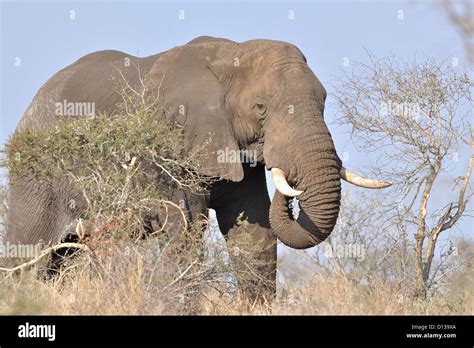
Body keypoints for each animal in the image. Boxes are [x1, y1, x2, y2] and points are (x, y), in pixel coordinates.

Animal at [3, 36, 388, 298]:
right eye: (260, 107)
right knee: (27, 255)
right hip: (35, 181)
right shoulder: (171, 141)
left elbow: (252, 230)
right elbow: (186, 230)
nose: (292, 187)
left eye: (323, 102)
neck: (231, 55)